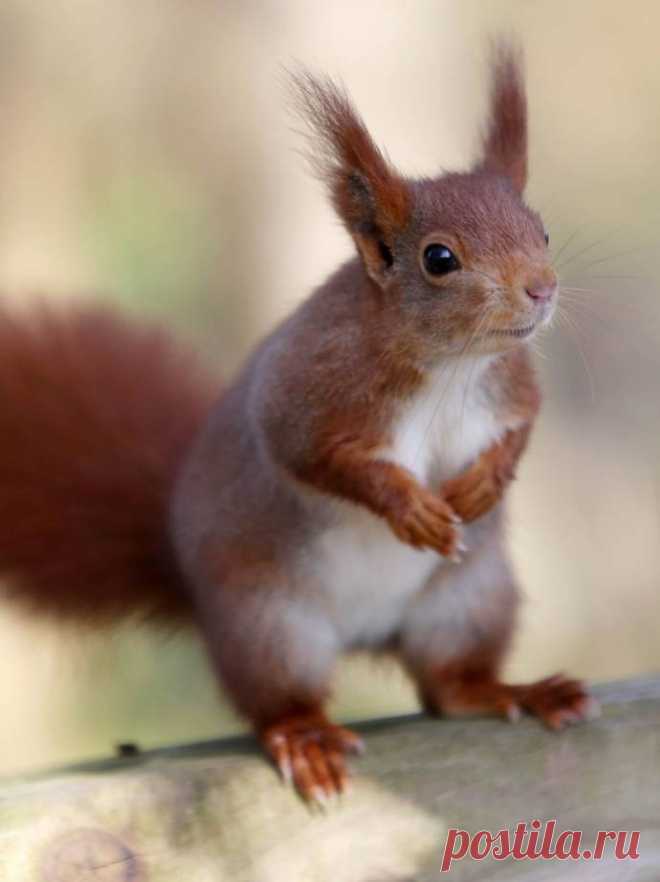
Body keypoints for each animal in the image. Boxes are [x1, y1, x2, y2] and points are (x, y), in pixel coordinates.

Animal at [0, 43, 600, 804]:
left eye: (541, 230)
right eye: (439, 259)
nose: (542, 289)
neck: (450, 366)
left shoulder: (510, 384)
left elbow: (521, 429)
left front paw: (483, 486)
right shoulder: (306, 391)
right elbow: (312, 456)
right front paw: (411, 509)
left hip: (470, 600)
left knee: (447, 687)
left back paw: (512, 691)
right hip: (271, 625)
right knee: (283, 699)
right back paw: (307, 738)